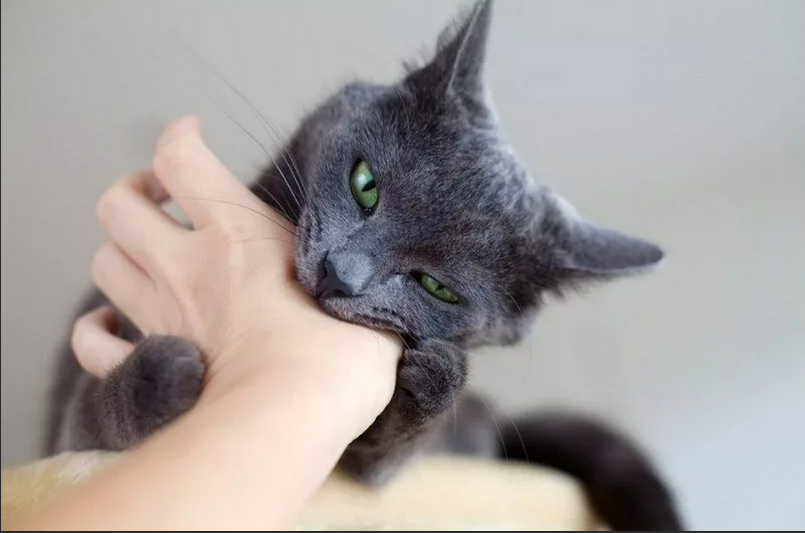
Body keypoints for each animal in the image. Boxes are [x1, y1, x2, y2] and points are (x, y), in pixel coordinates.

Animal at [47, 1, 680, 528]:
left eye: (437, 288)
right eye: (365, 184)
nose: (340, 272)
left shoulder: (372, 470)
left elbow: (380, 463)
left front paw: (437, 382)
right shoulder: (68, 434)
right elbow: (92, 417)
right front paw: (161, 374)